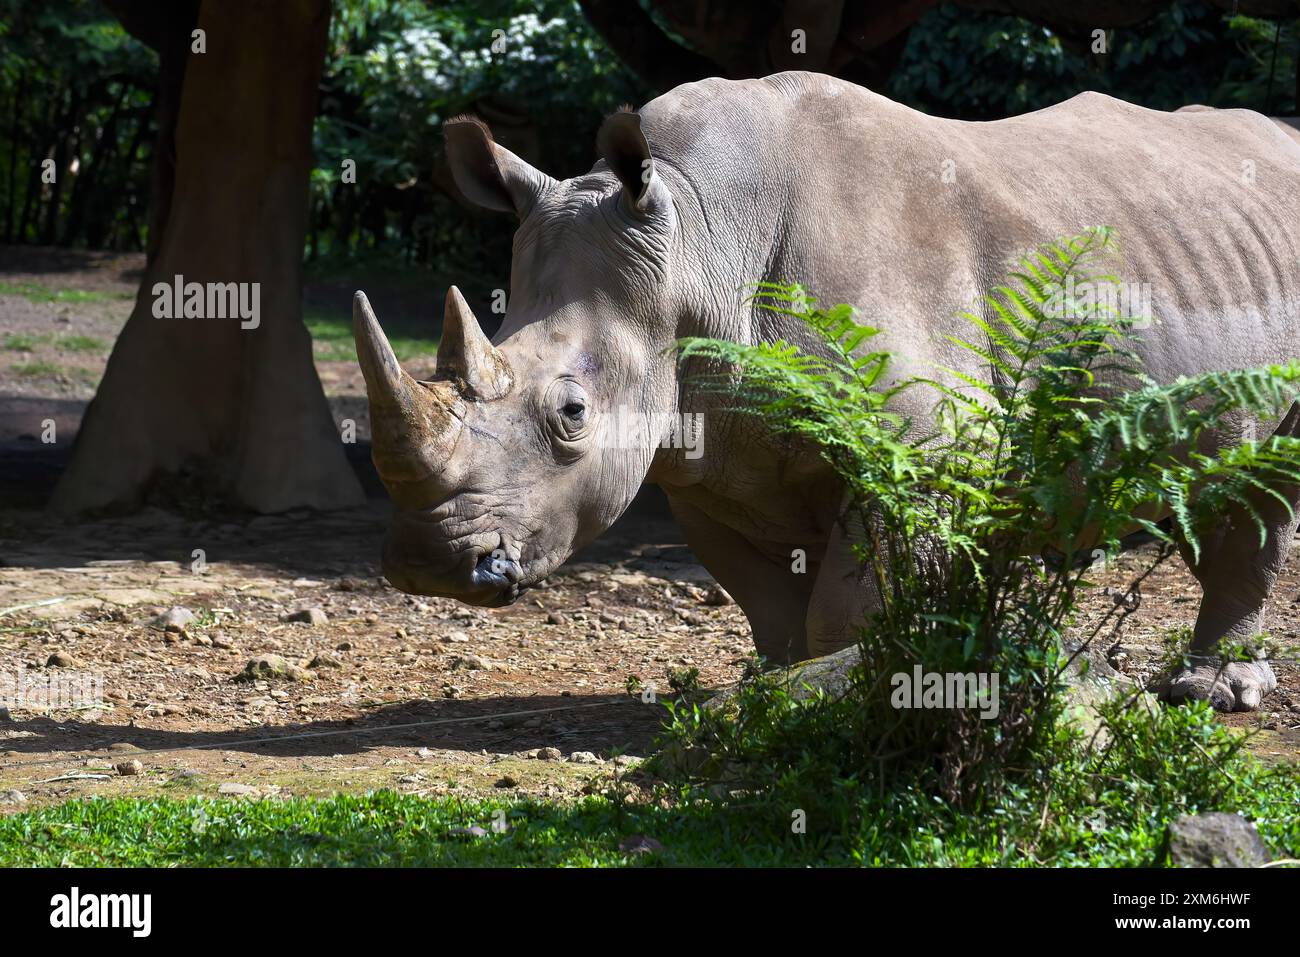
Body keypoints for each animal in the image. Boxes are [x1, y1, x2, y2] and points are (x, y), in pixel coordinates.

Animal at [353, 72, 1300, 712]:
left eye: (571, 413)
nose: (430, 564)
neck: (698, 242)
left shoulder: (926, 453)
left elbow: (844, 613)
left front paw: (832, 704)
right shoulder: (700, 459)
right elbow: (769, 606)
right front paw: (769, 702)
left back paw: (1215, 694)